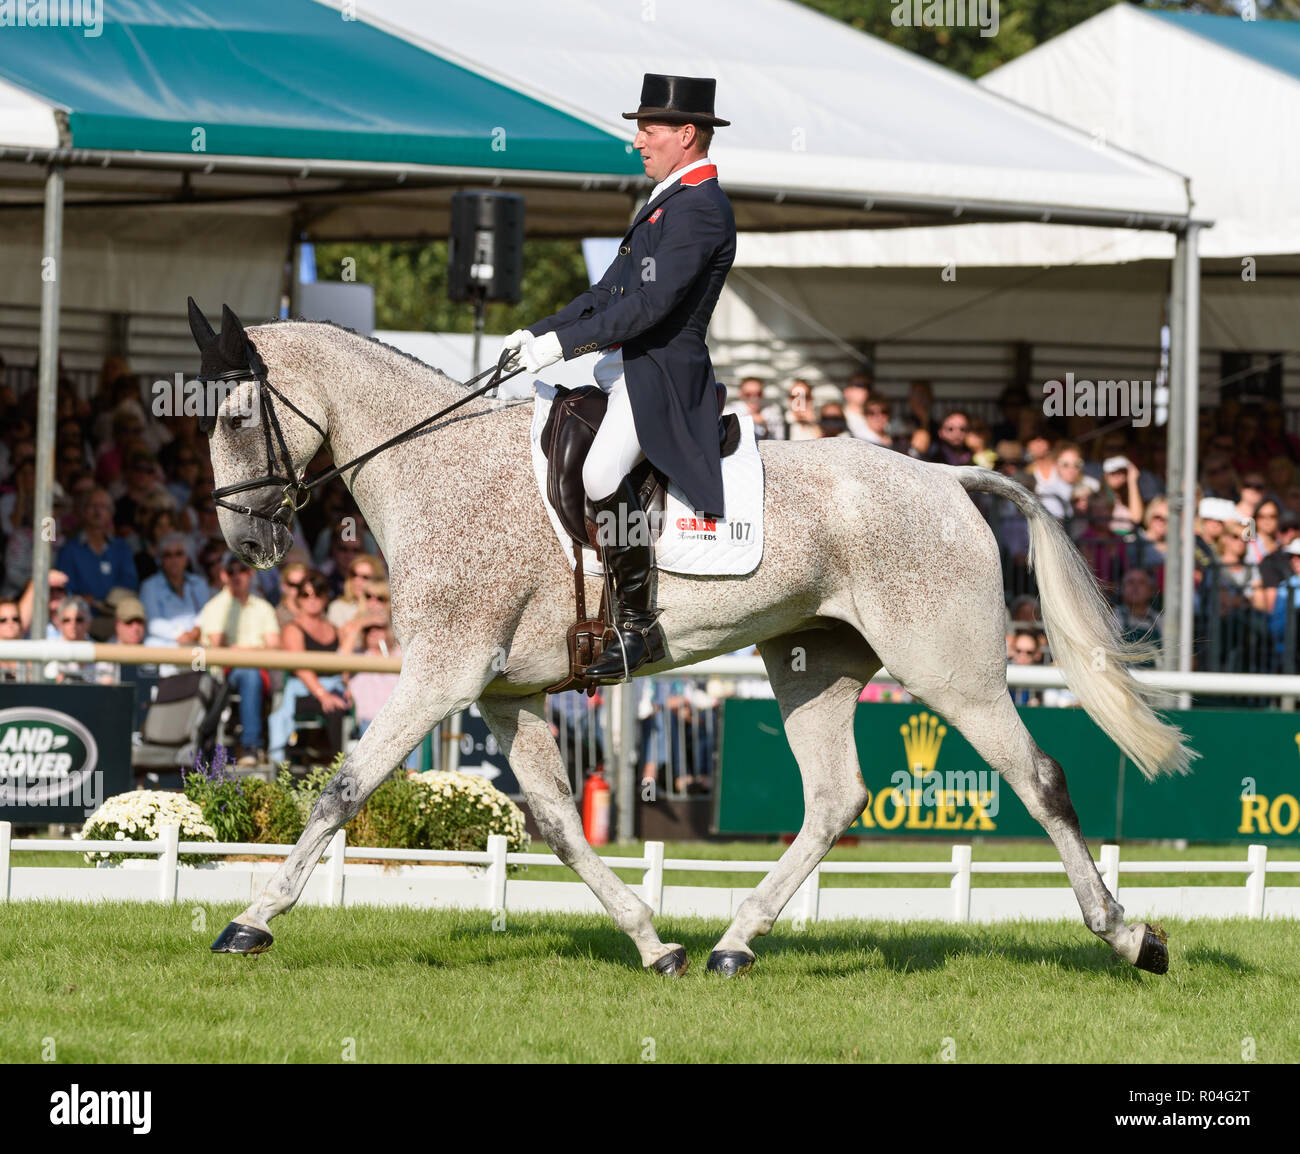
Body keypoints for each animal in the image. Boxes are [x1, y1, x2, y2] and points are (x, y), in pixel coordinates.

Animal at [192, 304, 1196, 972]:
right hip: (812, 664)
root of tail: (945, 476)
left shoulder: (445, 673)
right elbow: (558, 825)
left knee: (1039, 778)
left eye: (237, 416)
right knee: (834, 797)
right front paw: (651, 941)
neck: (436, 465)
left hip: (952, 672)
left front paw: (252, 920)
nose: (244, 546)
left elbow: (343, 790)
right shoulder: (508, 693)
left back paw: (1129, 937)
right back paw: (733, 944)